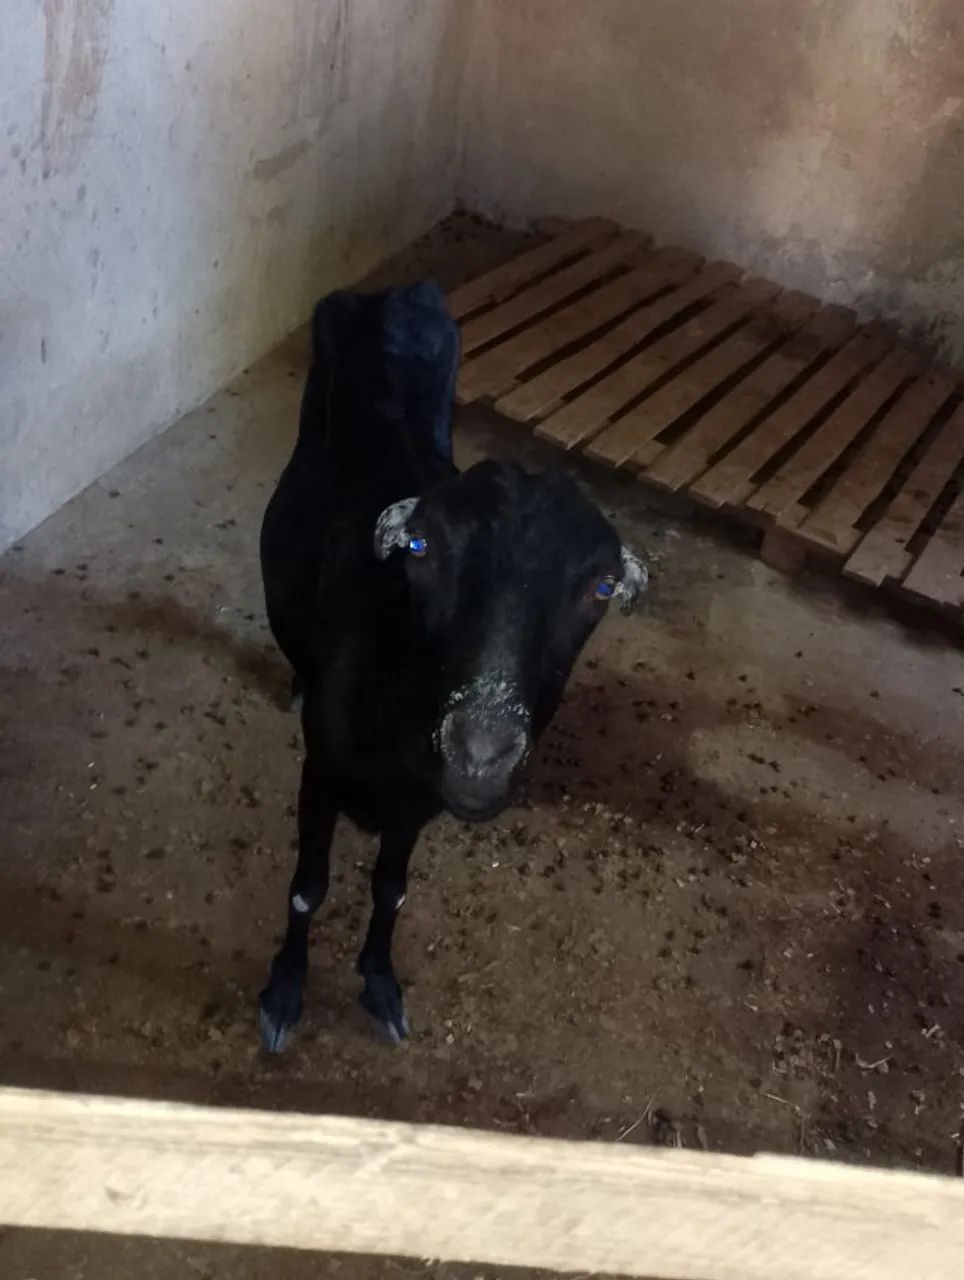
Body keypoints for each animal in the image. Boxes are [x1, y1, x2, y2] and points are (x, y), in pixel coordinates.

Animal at [258, 281, 647, 1051]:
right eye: (418, 548)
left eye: (601, 587)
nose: (481, 751)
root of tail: (390, 293)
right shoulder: (320, 770)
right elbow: (307, 888)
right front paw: (285, 991)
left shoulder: (421, 801)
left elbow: (391, 889)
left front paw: (379, 982)